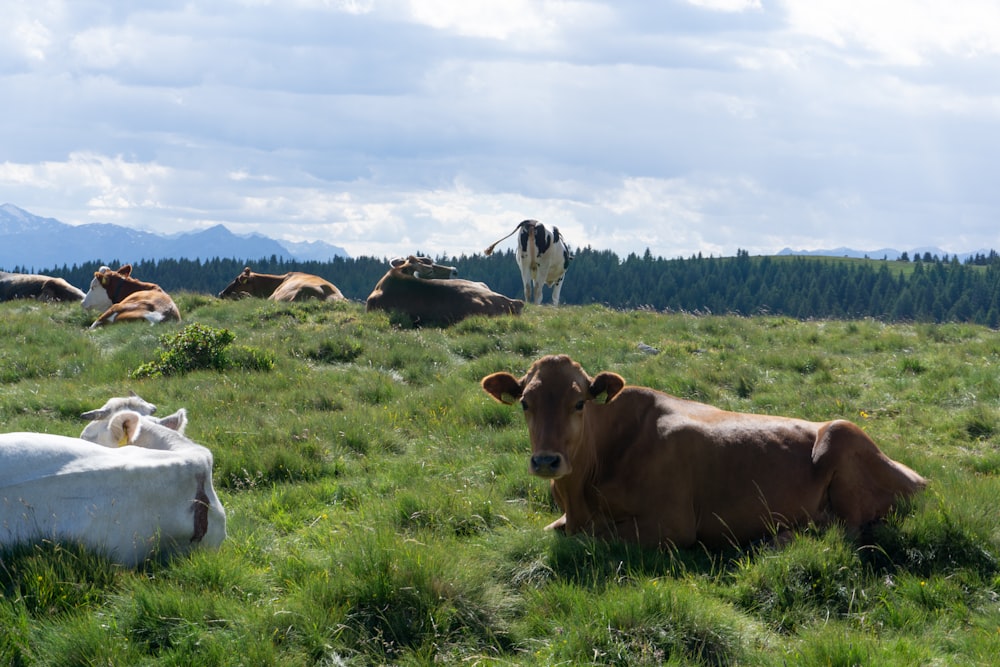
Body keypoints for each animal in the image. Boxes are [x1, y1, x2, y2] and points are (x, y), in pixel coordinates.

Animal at [480, 354, 924, 548]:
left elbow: (596, 538)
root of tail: (918, 477)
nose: (546, 460)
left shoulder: (673, 524)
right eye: (525, 403)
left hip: (841, 432)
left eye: (579, 403)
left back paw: (780, 540)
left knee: (844, 528)